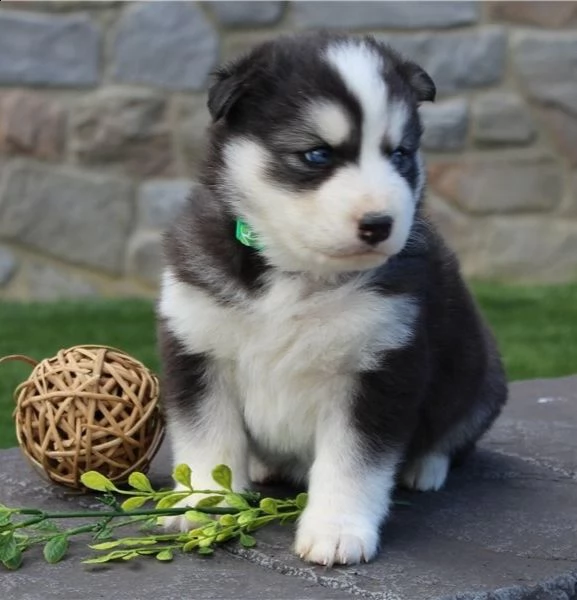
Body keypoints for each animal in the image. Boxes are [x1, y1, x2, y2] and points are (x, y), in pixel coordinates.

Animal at [155, 31, 506, 568]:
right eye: (317, 155)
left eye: (399, 154)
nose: (380, 223)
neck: (296, 275)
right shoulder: (198, 347)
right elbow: (207, 444)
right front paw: (203, 506)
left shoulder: (377, 368)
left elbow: (351, 465)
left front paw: (337, 531)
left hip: (483, 375)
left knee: (453, 433)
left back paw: (424, 466)